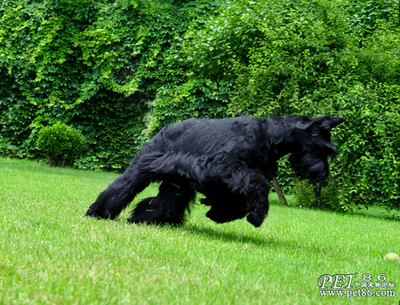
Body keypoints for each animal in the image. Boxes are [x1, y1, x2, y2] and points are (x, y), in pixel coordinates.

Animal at [85, 115, 344, 227]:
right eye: (324, 149)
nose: (323, 174)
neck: (270, 135)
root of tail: (163, 129)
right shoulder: (219, 165)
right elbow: (259, 186)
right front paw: (257, 215)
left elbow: (240, 198)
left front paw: (220, 213)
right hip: (141, 170)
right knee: (121, 188)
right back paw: (98, 212)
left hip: (177, 184)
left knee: (164, 201)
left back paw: (146, 219)